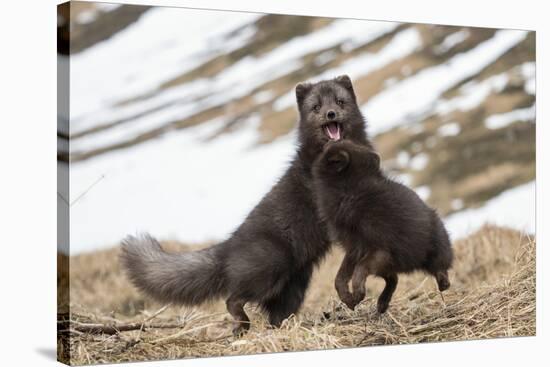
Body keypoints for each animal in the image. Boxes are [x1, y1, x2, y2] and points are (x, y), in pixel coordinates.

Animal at [312, 141, 454, 314]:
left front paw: (357, 293)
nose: (330, 141)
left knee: (440, 271)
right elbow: (339, 278)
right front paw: (349, 299)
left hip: (431, 250)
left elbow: (359, 270)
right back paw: (382, 304)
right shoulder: (354, 249)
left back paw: (441, 282)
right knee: (394, 279)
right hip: (387, 266)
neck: (352, 191)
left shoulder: (380, 249)